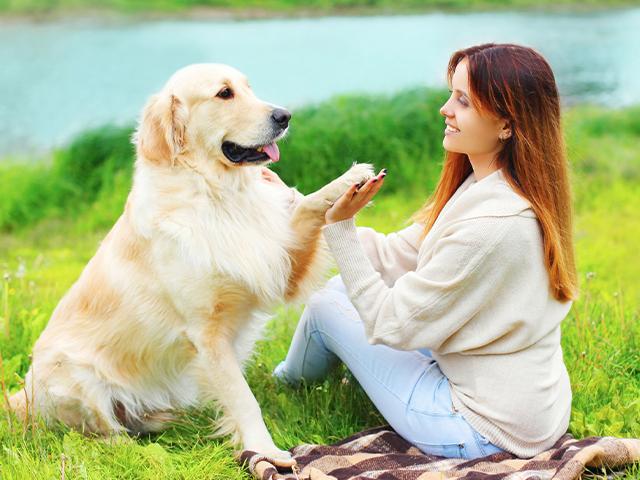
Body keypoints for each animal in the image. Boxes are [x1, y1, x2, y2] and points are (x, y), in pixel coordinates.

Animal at [7, 62, 372, 464]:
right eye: (224, 93)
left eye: (248, 87)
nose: (285, 115)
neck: (216, 192)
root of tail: (21, 398)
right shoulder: (206, 333)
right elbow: (243, 399)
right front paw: (264, 451)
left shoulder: (278, 260)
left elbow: (307, 207)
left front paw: (348, 181)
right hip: (73, 375)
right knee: (99, 434)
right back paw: (141, 450)